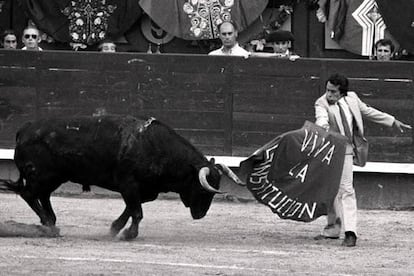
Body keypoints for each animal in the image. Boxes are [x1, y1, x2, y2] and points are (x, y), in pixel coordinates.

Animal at [0, 116, 244, 239]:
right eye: (202, 188)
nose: (200, 215)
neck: (158, 148)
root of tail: (23, 130)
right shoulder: (129, 184)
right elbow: (137, 212)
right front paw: (129, 234)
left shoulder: (143, 190)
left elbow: (131, 209)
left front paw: (115, 228)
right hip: (42, 175)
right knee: (29, 193)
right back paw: (50, 226)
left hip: (54, 176)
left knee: (41, 195)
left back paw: (50, 221)